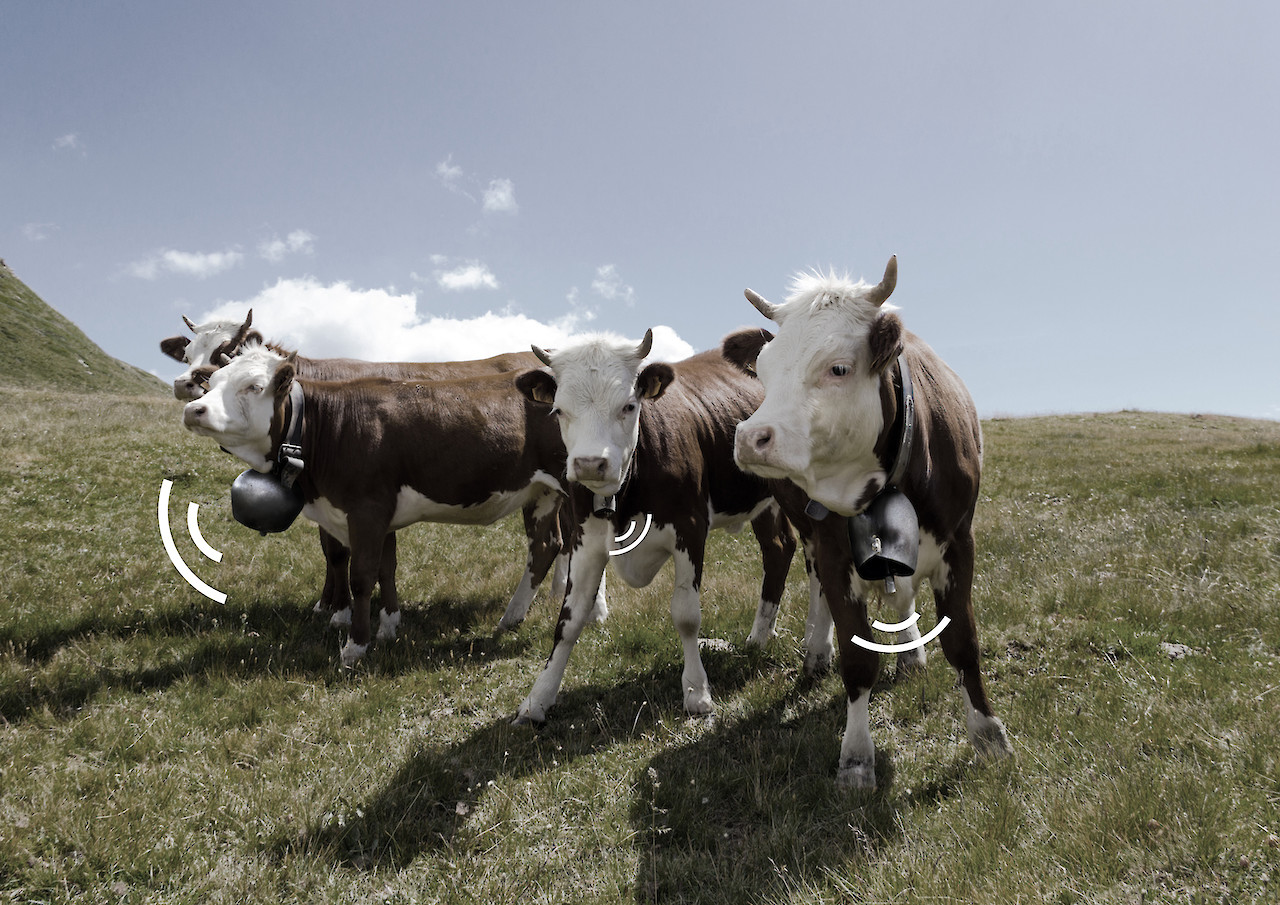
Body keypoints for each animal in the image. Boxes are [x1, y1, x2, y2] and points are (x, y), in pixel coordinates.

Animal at [162, 313, 577, 634]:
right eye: (188, 353)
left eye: (225, 352)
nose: (187, 386)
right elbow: (363, 560)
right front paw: (343, 609)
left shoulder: (363, 504)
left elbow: (342, 555)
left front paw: (340, 613)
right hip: (539, 492)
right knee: (547, 543)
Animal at [511, 329, 806, 724]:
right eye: (559, 411)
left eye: (628, 406)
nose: (589, 464)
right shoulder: (585, 540)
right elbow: (569, 621)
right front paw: (538, 699)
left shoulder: (690, 530)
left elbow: (686, 615)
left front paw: (697, 692)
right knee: (779, 548)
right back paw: (759, 636)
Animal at [729, 255, 1012, 787]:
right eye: (764, 369)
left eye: (838, 367)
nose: (751, 437)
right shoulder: (833, 549)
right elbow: (857, 660)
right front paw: (857, 757)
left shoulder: (959, 542)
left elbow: (963, 642)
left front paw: (988, 734)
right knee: (817, 585)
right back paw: (817, 651)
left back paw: (912, 655)